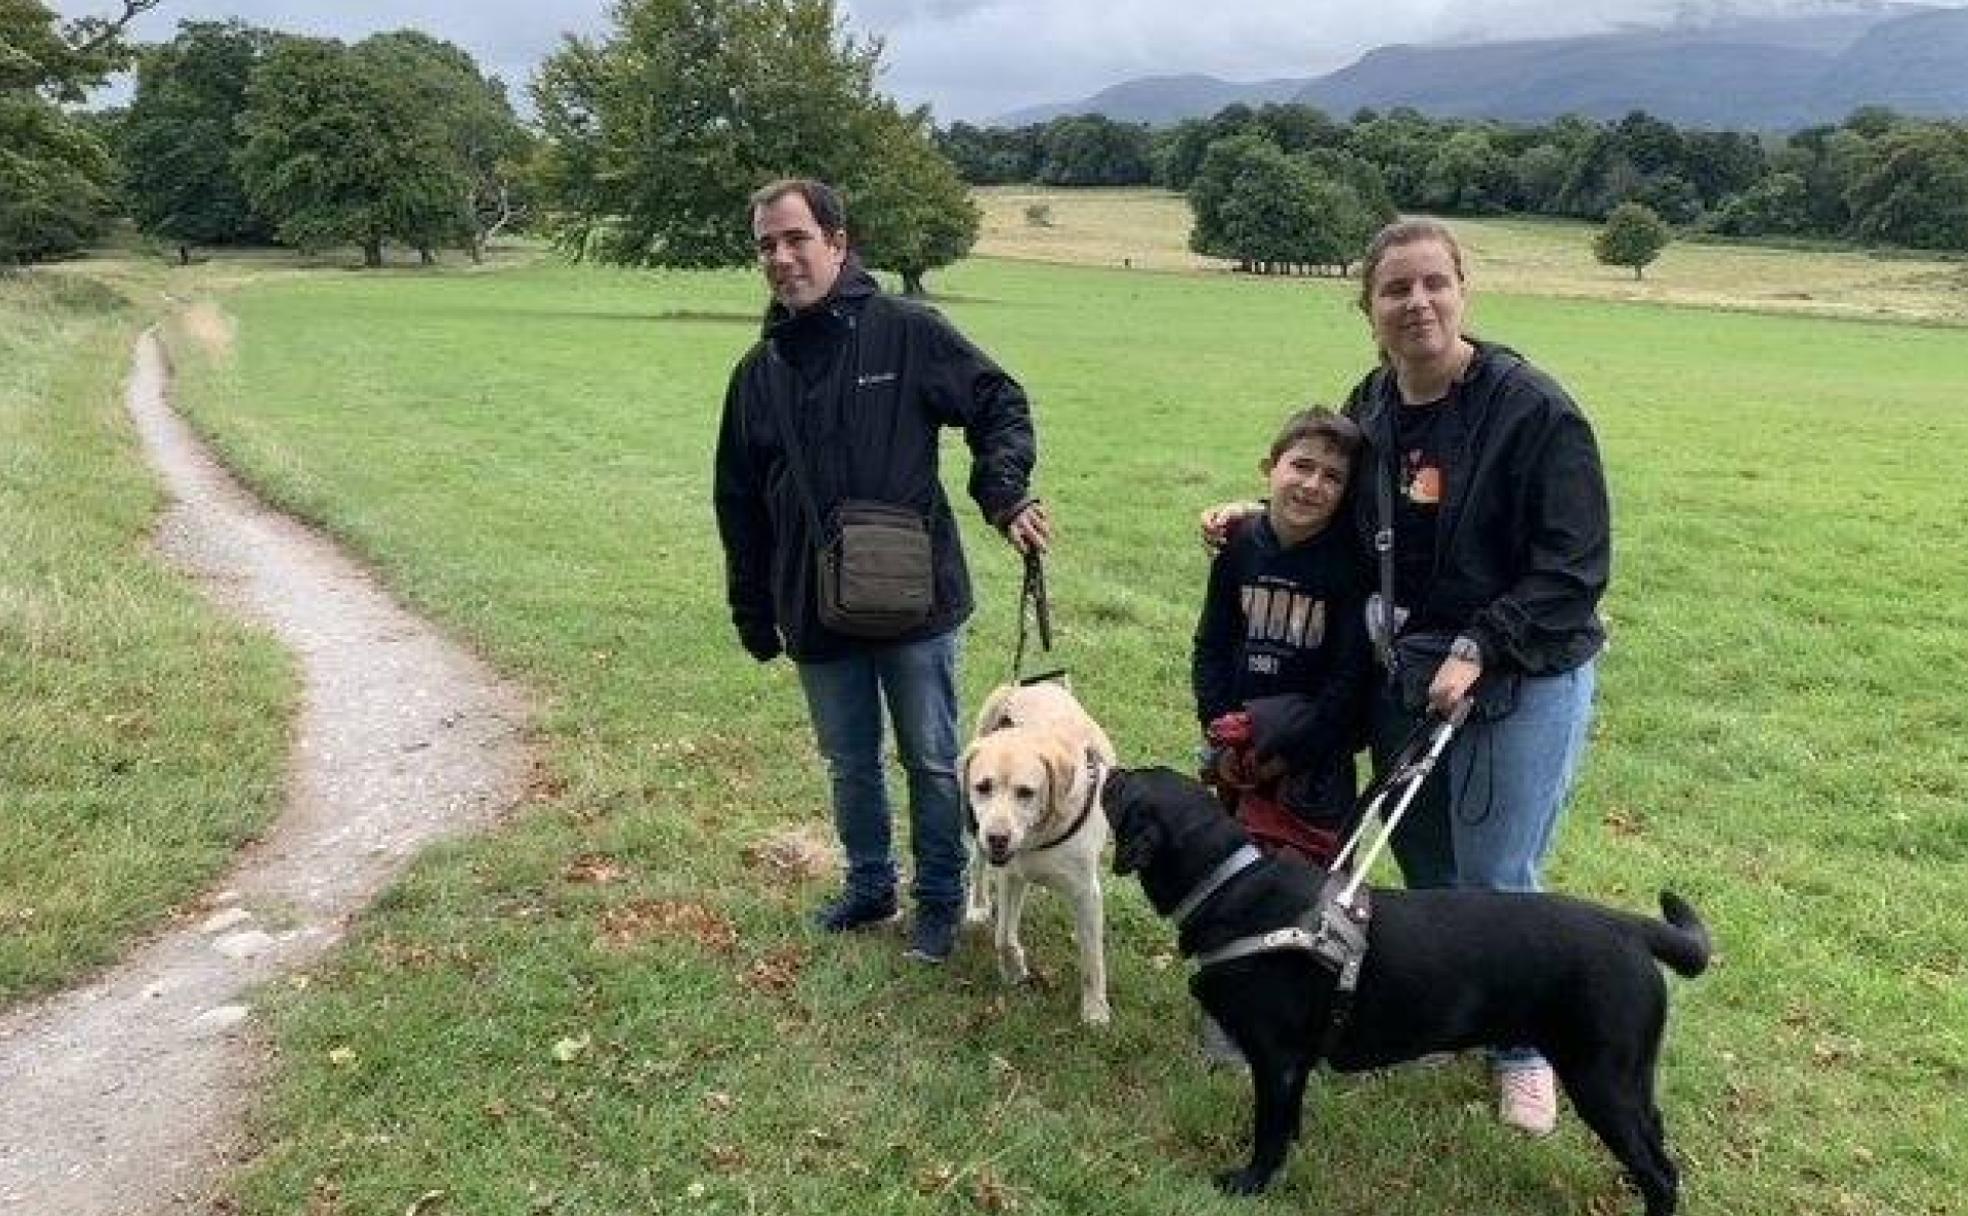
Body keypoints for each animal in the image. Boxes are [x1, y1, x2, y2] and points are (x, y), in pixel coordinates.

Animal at [1102, 763, 1716, 1204]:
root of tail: (1630, 926)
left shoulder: (1275, 1061)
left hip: (1600, 1078)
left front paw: (1251, 1184)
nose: (1107, 768)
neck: (1227, 885)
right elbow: (1289, 1122)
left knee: (1661, 1172)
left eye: (1127, 786)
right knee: (1658, 1141)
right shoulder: (1293, 1066)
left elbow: (1268, 1131)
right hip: (1629, 1078)